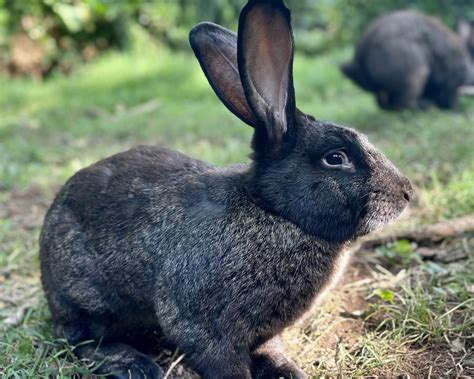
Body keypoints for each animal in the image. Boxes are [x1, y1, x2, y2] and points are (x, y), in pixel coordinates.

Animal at [39, 1, 412, 378]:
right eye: (335, 158)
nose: (406, 192)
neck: (272, 211)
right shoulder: (202, 326)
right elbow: (220, 359)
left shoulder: (262, 335)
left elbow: (270, 351)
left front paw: (288, 372)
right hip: (89, 304)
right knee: (82, 341)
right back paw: (136, 364)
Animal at [340, 10, 474, 110]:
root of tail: (360, 60)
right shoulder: (451, 82)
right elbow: (448, 97)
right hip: (416, 74)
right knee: (402, 103)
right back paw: (426, 106)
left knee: (384, 103)